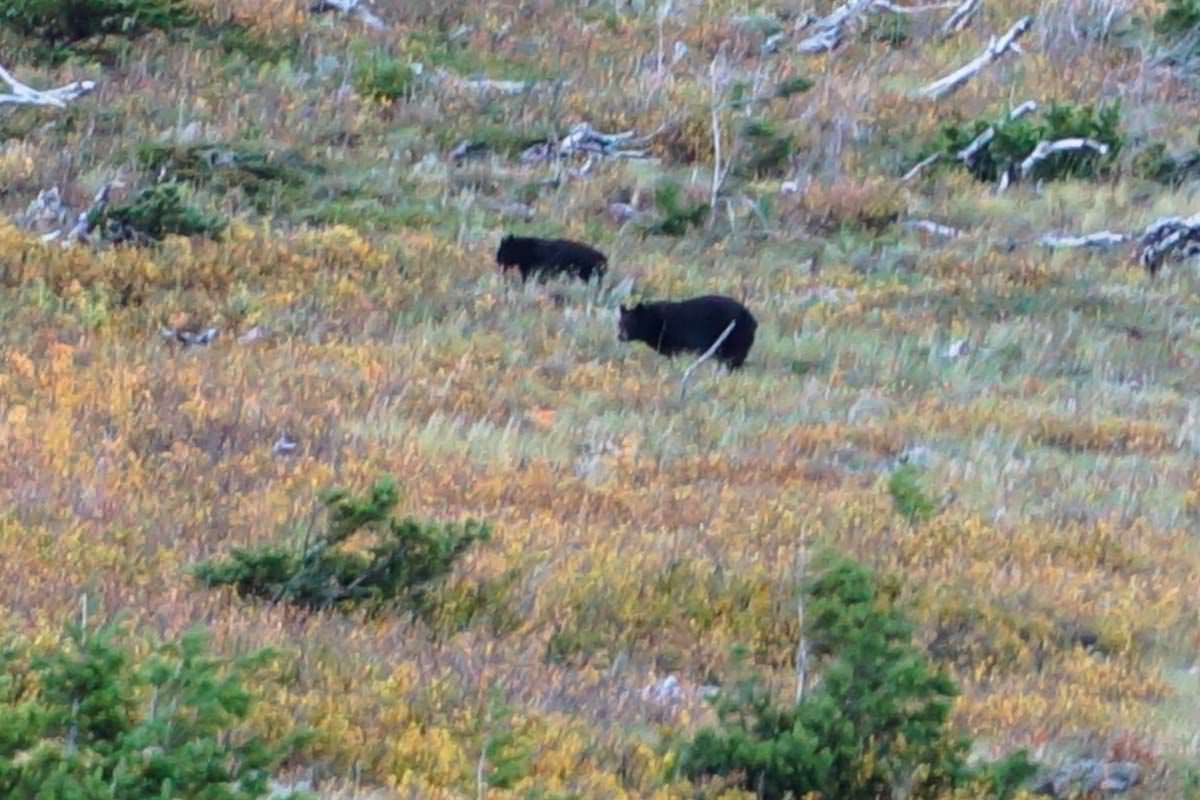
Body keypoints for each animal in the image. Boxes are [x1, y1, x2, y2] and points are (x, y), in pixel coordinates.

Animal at [619, 293, 758, 369]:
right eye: (619, 324)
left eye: (629, 324)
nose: (620, 337)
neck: (653, 321)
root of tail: (751, 319)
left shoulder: (673, 336)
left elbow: (673, 353)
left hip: (735, 337)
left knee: (733, 359)